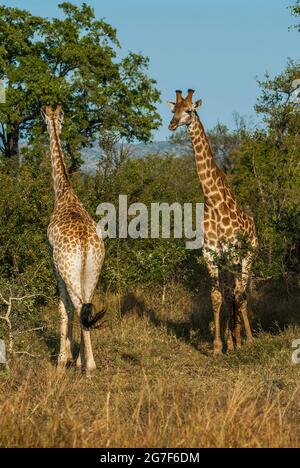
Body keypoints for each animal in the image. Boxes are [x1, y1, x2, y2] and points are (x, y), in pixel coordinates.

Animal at [168, 88, 256, 354]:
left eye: (189, 110)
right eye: (173, 109)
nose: (172, 124)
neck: (214, 202)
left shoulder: (232, 253)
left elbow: (235, 296)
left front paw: (236, 342)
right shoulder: (211, 254)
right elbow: (217, 297)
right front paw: (219, 346)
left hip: (248, 256)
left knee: (242, 294)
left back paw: (248, 339)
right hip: (231, 262)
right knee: (232, 294)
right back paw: (233, 338)